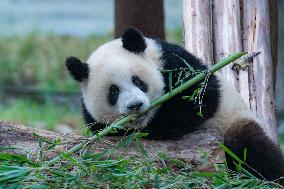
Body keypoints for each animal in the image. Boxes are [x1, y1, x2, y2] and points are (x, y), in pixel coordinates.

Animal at [65, 27, 284, 183]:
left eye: (137, 81)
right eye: (113, 92)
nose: (135, 105)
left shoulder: (174, 62)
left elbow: (200, 97)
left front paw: (158, 126)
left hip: (234, 122)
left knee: (251, 150)